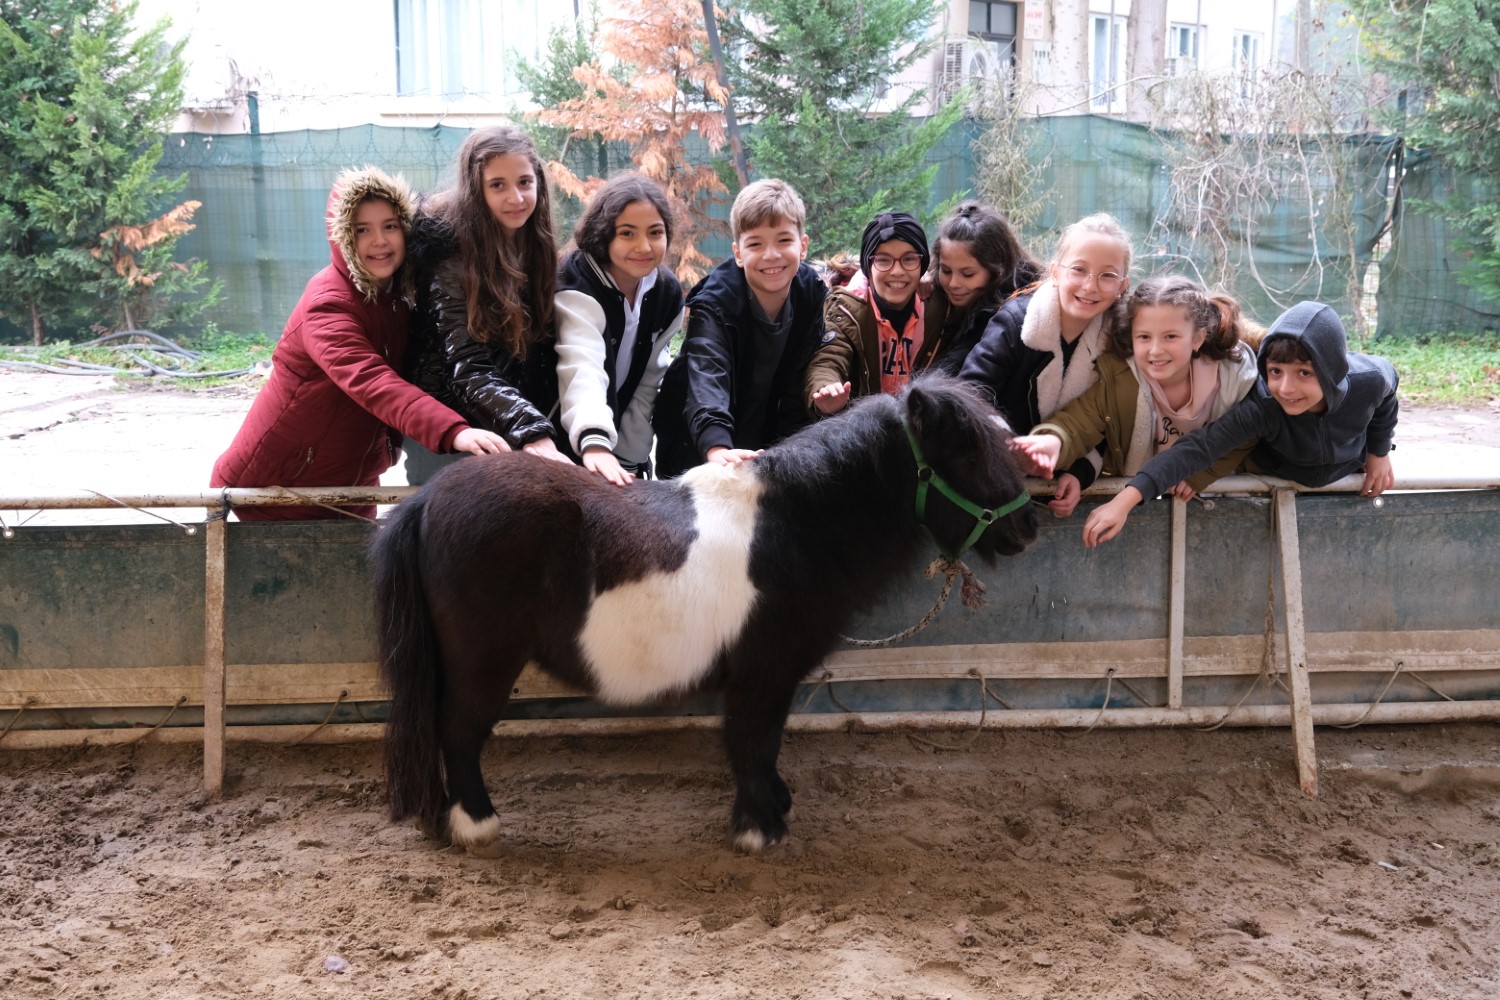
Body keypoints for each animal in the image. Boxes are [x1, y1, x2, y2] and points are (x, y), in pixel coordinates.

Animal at [369, 374, 1038, 851]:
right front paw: (758, 829)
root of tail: (425, 501)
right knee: (459, 731)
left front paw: (775, 806)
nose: (1028, 528)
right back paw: (477, 825)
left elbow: (764, 745)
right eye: (968, 455)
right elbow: (751, 741)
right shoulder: (762, 674)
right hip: (483, 663)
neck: (794, 525)